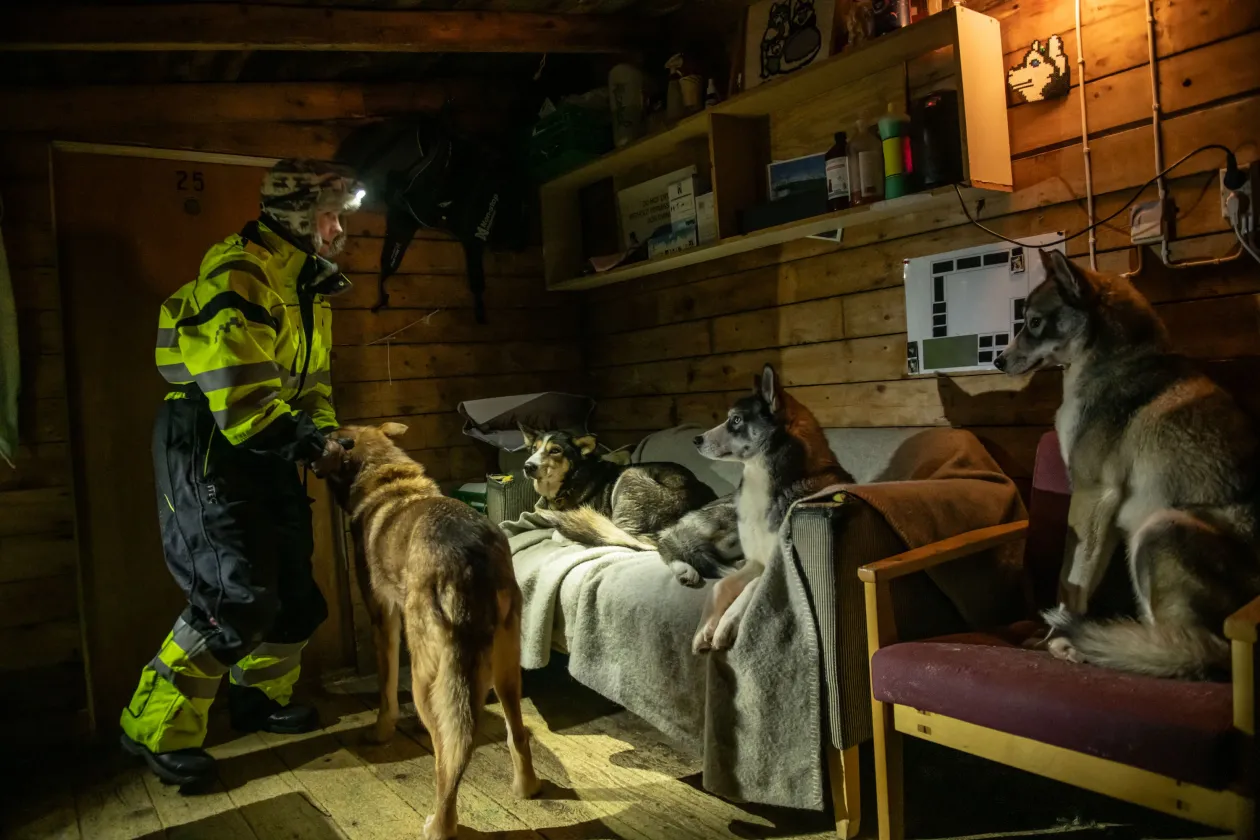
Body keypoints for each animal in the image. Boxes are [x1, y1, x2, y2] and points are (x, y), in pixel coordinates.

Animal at [317, 423, 539, 836]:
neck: (386, 478)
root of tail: (470, 557)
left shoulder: (384, 618)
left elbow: (386, 691)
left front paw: (380, 732)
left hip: (427, 676)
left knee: (448, 757)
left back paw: (440, 825)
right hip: (506, 670)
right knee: (514, 733)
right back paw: (527, 788)